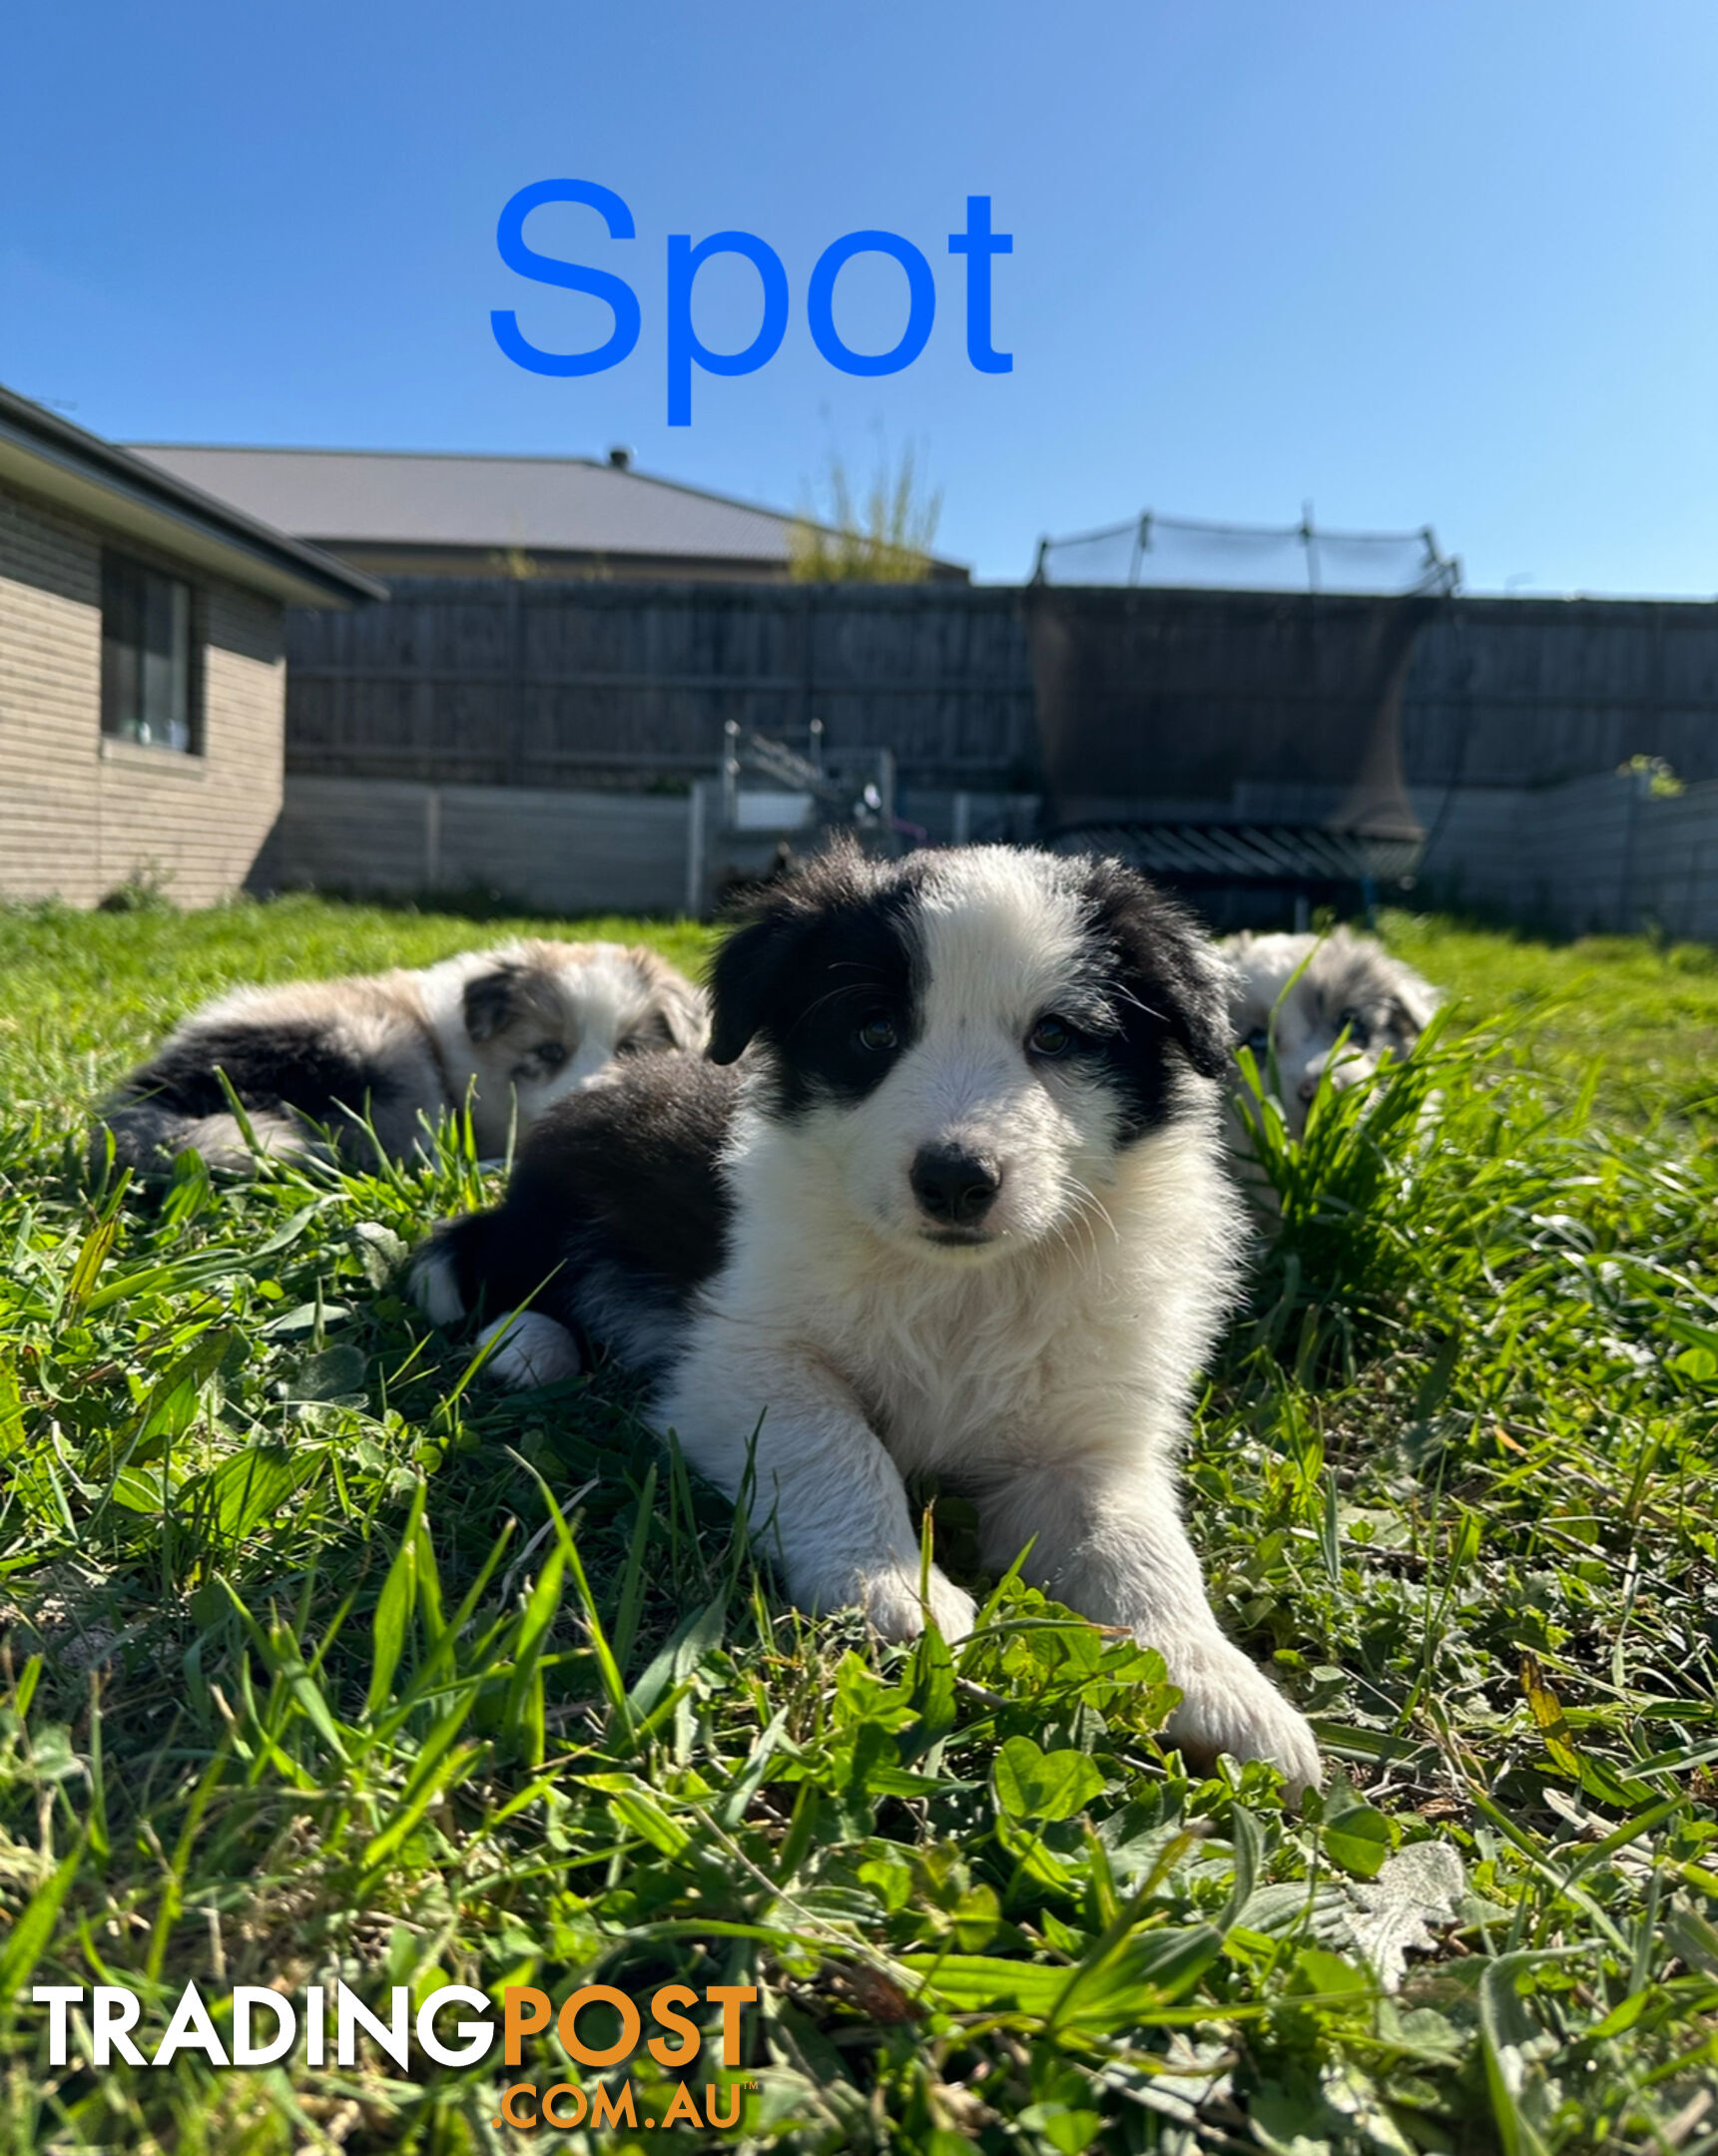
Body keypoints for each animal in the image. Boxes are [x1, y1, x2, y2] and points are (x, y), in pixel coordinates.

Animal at [411, 849, 1310, 1794]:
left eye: (1057, 1037)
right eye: (875, 1031)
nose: (954, 1180)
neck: (959, 1285)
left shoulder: (1082, 1435)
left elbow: (1139, 1546)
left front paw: (1217, 1684)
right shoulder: (742, 1358)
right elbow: (836, 1447)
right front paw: (897, 1593)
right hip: (555, 1204)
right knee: (481, 1258)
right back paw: (525, 1342)